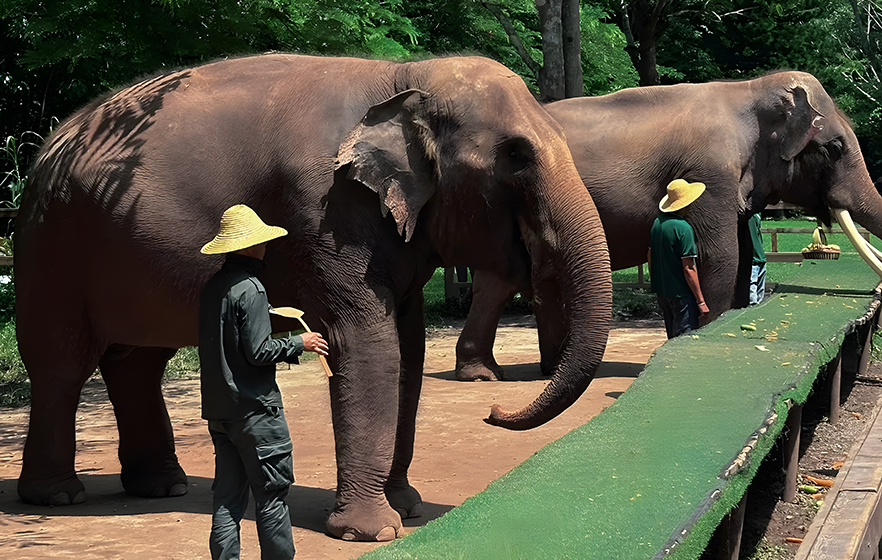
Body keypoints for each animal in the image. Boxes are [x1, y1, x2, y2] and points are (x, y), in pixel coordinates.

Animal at [13, 53, 608, 544]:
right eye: (516, 154)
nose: (493, 408)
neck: (404, 75)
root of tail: (45, 151)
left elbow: (408, 350)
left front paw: (405, 508)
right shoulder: (325, 209)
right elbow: (368, 344)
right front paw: (371, 532)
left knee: (138, 361)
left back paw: (162, 487)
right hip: (50, 246)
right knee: (61, 364)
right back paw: (58, 495)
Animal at [454, 70, 880, 382]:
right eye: (835, 148)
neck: (749, 90)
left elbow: (739, 258)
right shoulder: (708, 173)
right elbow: (719, 258)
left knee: (511, 277)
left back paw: (523, 372)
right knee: (508, 277)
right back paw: (493, 375)